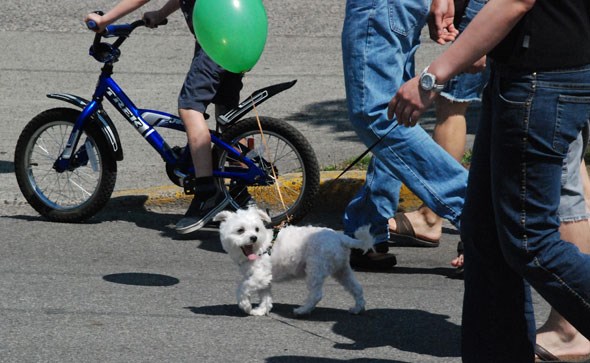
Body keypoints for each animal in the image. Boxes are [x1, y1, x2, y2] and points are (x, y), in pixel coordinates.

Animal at [214, 208, 374, 318]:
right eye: (240, 230)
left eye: (256, 229)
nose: (253, 237)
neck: (262, 246)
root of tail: (340, 237)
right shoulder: (264, 279)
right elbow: (265, 297)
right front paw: (261, 310)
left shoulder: (259, 277)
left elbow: (242, 288)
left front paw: (245, 305)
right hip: (341, 270)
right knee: (357, 288)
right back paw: (357, 308)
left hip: (315, 269)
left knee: (316, 294)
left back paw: (303, 310)